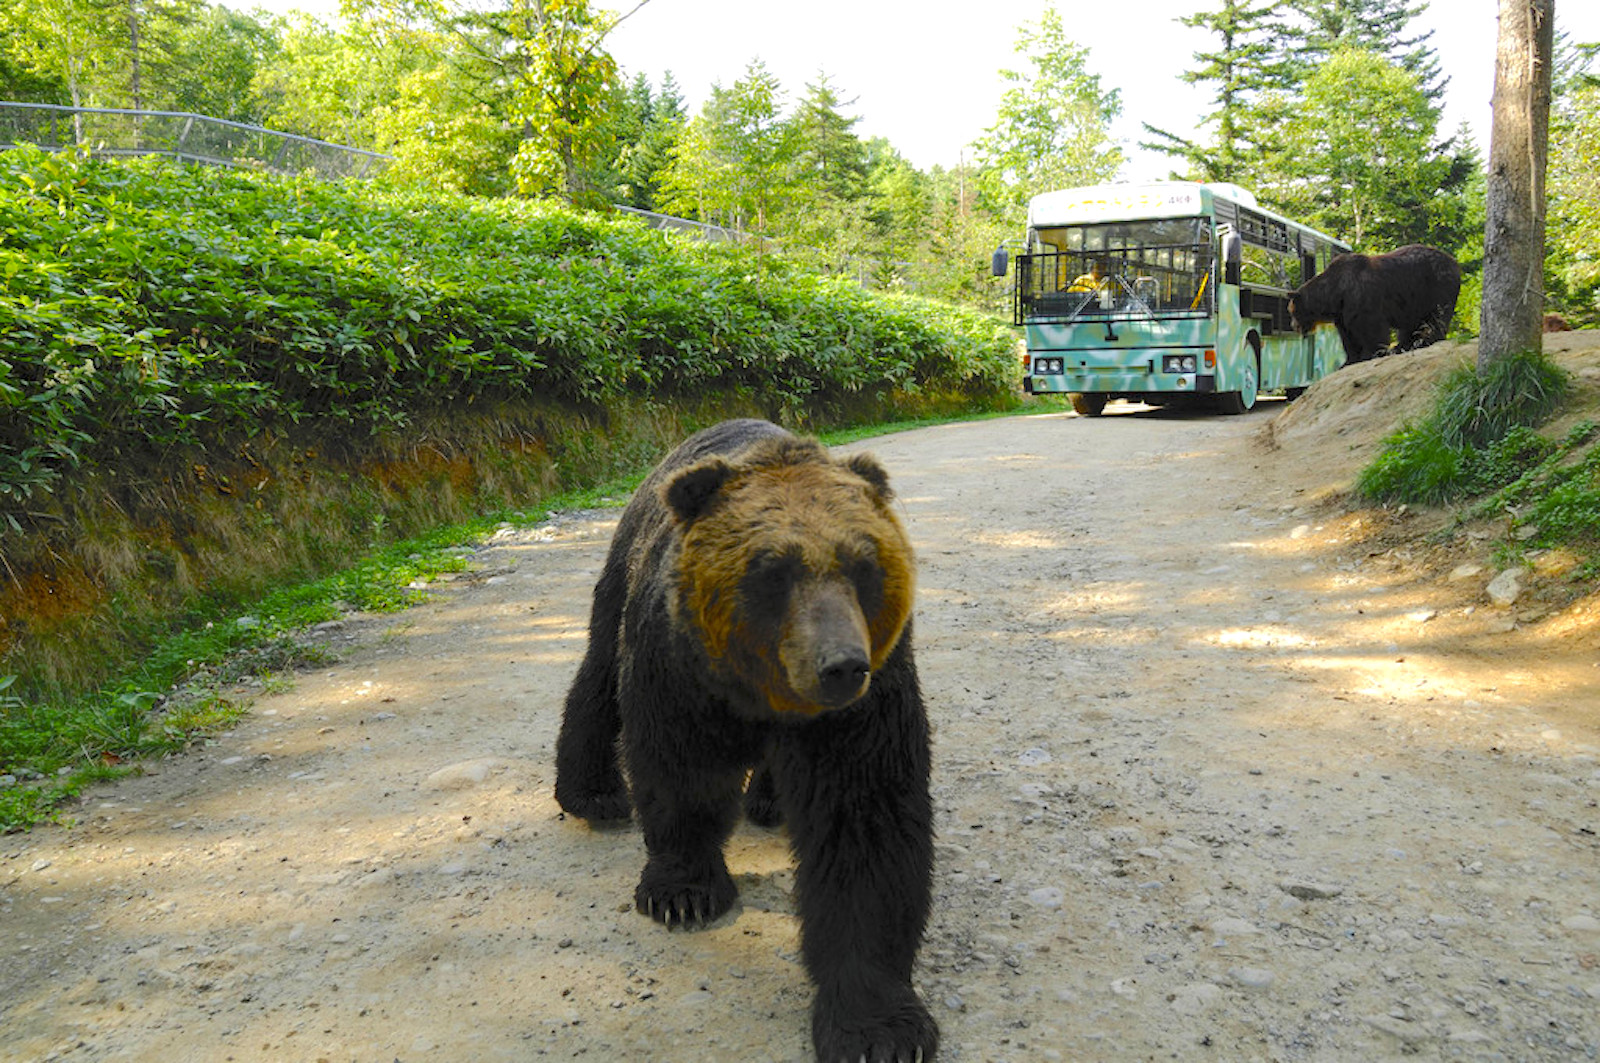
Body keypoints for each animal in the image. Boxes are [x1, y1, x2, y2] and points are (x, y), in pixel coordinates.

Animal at [560, 416, 940, 1063]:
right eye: (772, 570)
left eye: (864, 567)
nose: (841, 666)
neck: (762, 690)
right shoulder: (679, 670)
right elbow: (680, 772)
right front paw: (682, 892)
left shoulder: (864, 710)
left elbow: (865, 828)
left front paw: (878, 1029)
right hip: (623, 573)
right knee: (599, 672)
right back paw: (592, 792)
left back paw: (768, 801)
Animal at [1286, 243, 1465, 363]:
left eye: (1292, 311)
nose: (1294, 327)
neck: (1336, 293)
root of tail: (1455, 263)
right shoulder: (1343, 313)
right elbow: (1348, 337)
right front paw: (1350, 360)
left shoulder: (1362, 297)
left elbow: (1371, 329)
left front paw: (1371, 353)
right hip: (1416, 299)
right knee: (1412, 324)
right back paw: (1404, 345)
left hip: (1436, 286)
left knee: (1436, 316)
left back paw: (1423, 341)